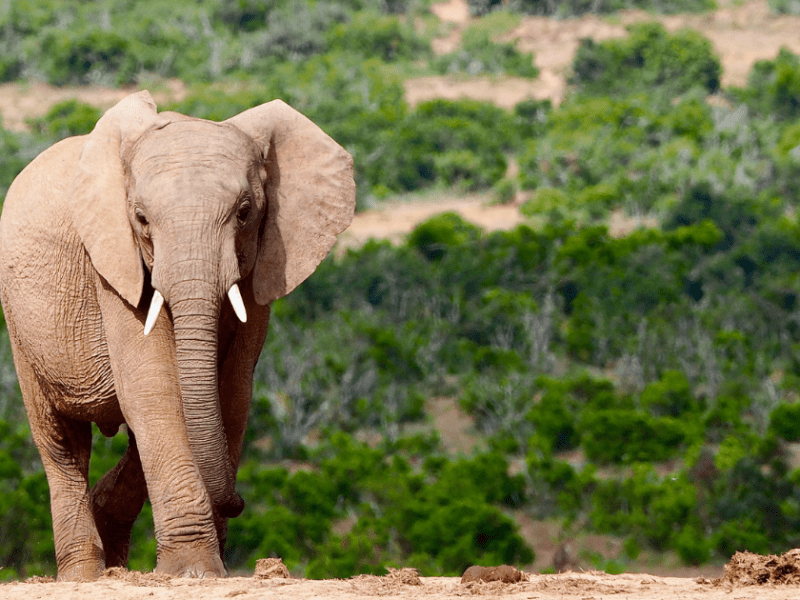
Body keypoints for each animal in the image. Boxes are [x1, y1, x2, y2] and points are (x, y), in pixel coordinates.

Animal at [0, 91, 355, 581]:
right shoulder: (112, 266)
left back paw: (113, 553)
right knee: (61, 442)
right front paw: (193, 571)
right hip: (20, 326)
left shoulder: (264, 266)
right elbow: (154, 387)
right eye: (141, 219)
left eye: (245, 213)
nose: (238, 501)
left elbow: (232, 393)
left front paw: (208, 566)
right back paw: (84, 575)